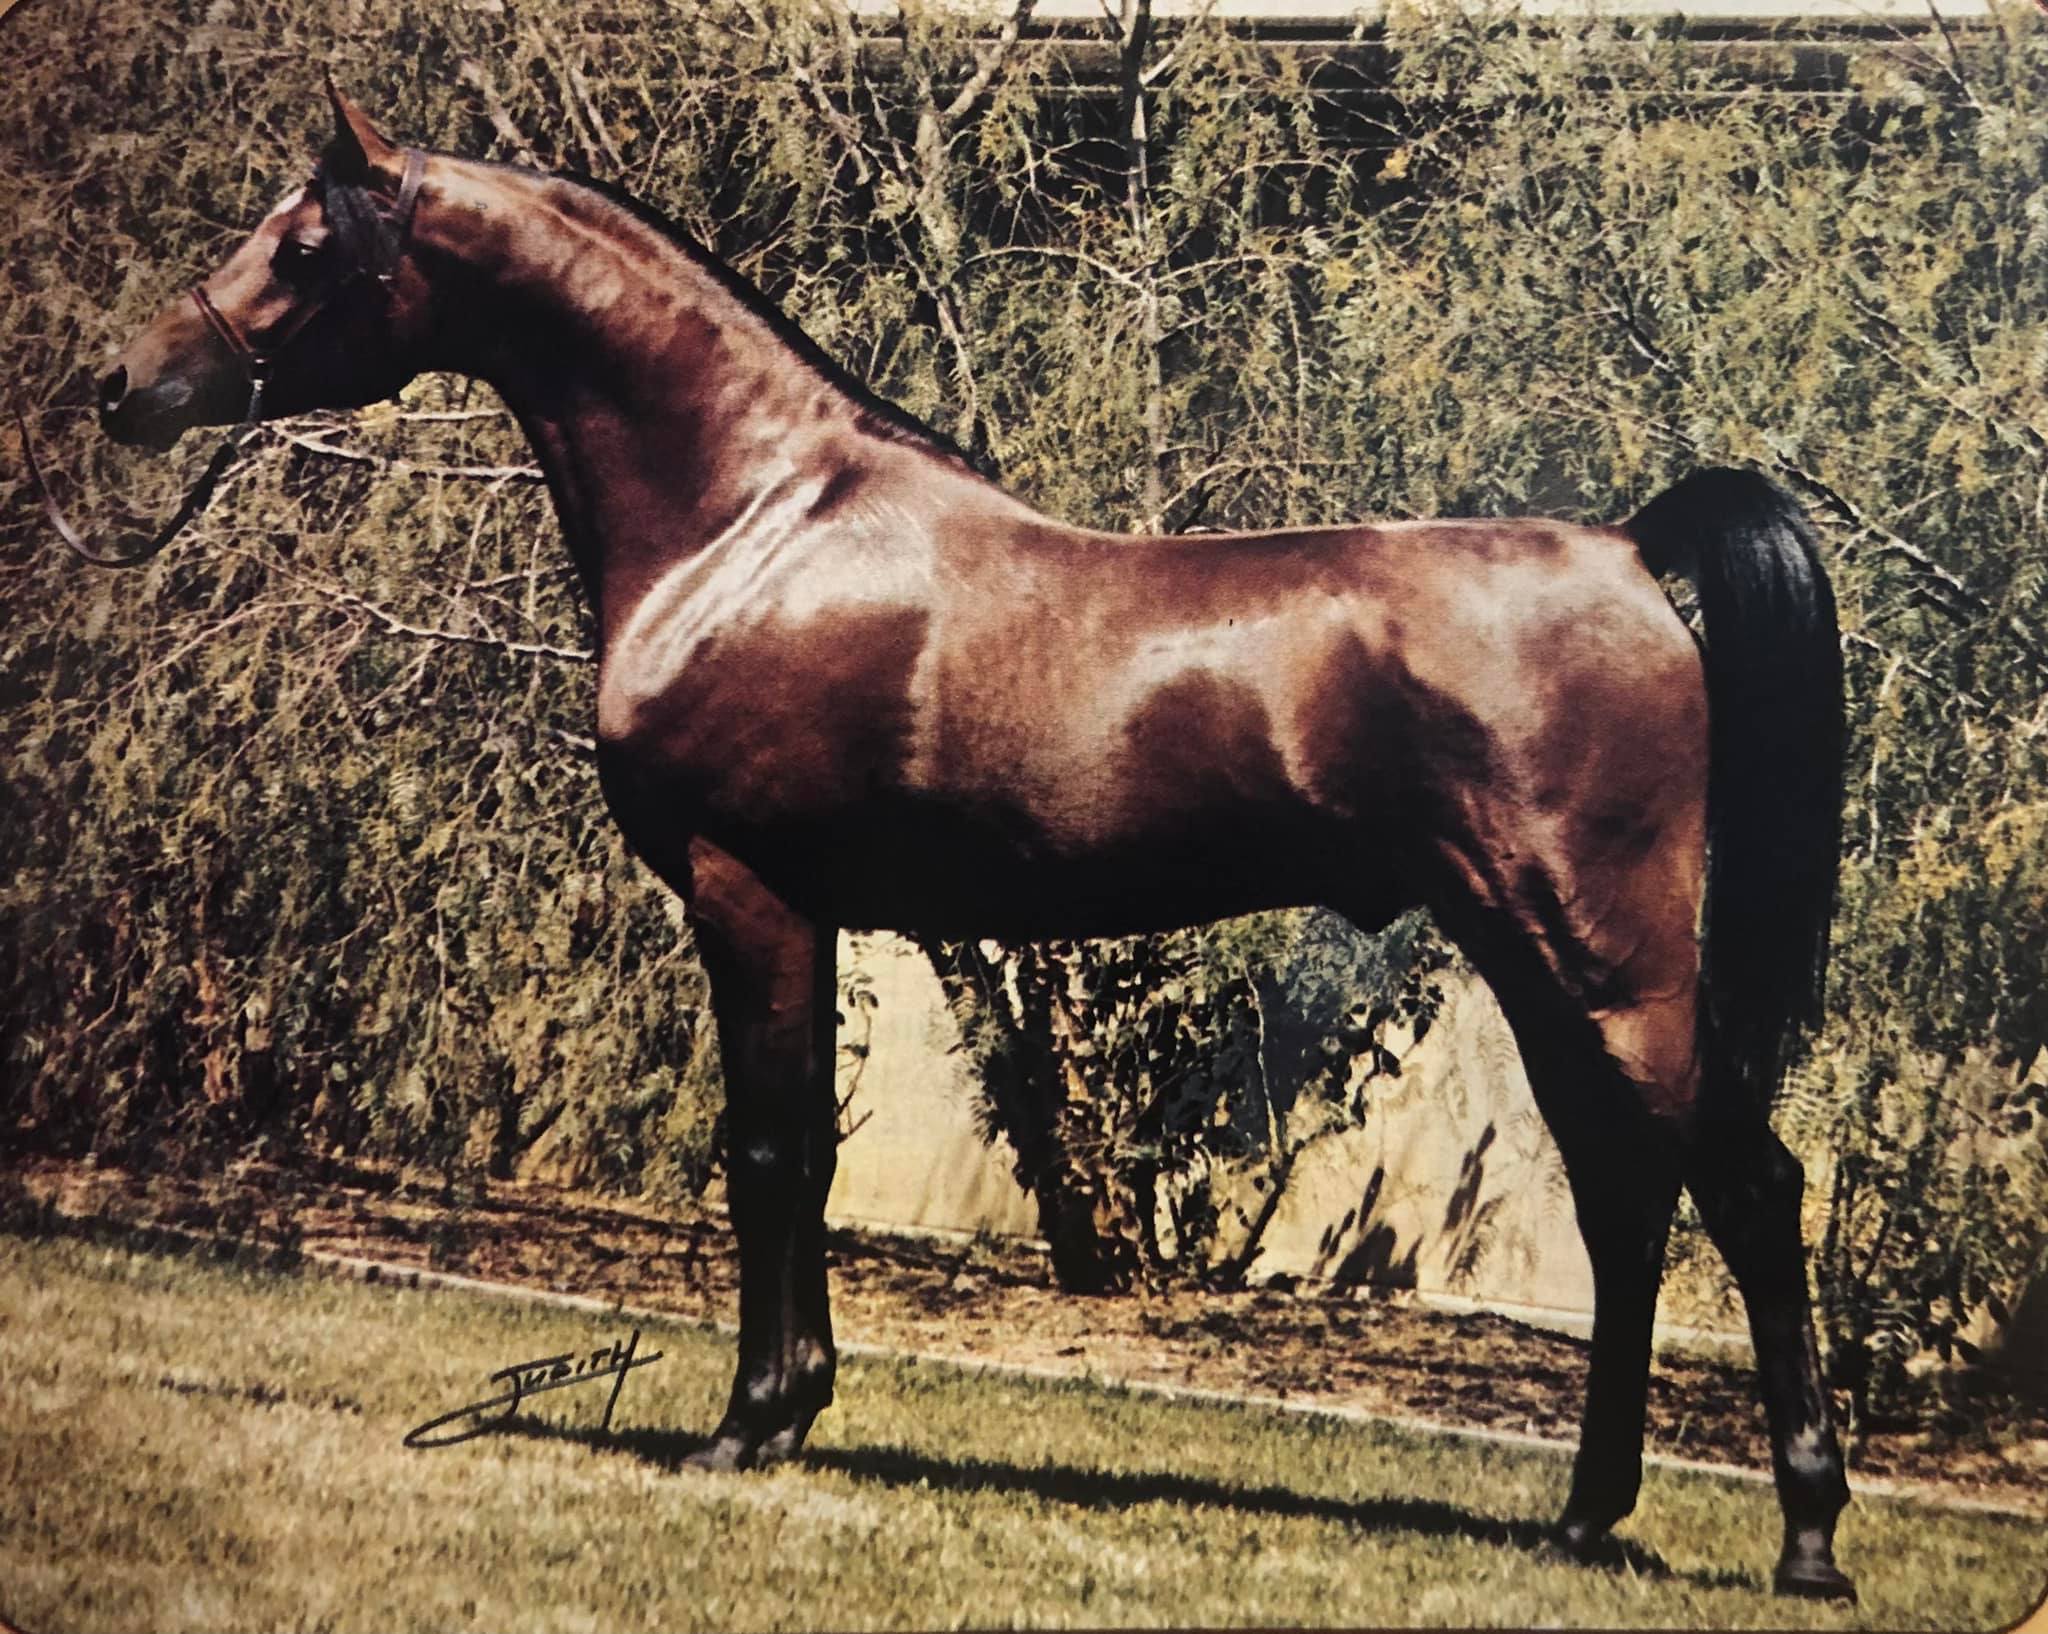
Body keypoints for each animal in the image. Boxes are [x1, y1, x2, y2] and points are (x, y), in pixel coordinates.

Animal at [69, 85, 1856, 1600]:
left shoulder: (750, 891)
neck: (751, 522)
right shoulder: (812, 909)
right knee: (1632, 1206)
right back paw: (1585, 1517)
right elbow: (806, 1151)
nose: (124, 385)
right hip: (1538, 961)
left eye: (308, 244)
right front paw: (798, 1404)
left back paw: (1807, 1540)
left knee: (1749, 1187)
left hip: (1600, 954)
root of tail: (1624, 549)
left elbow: (768, 1149)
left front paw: (747, 1420)